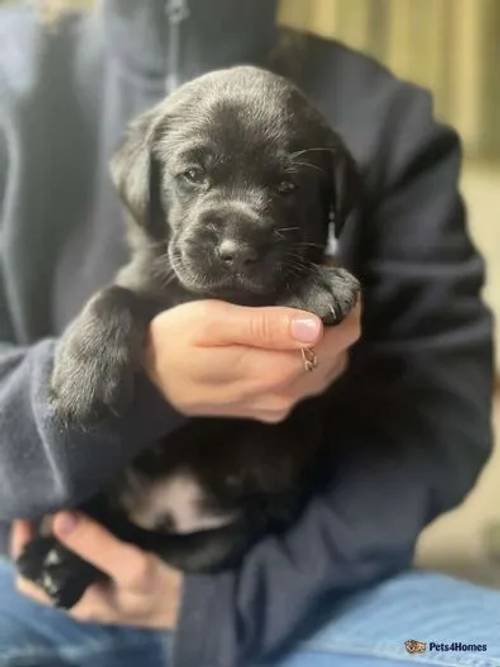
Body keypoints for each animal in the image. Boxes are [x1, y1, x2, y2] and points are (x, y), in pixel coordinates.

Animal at [16, 68, 360, 612]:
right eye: (193, 175)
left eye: (288, 185)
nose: (235, 250)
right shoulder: (146, 276)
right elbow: (114, 294)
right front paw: (83, 375)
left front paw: (314, 283)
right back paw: (52, 560)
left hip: (240, 528)